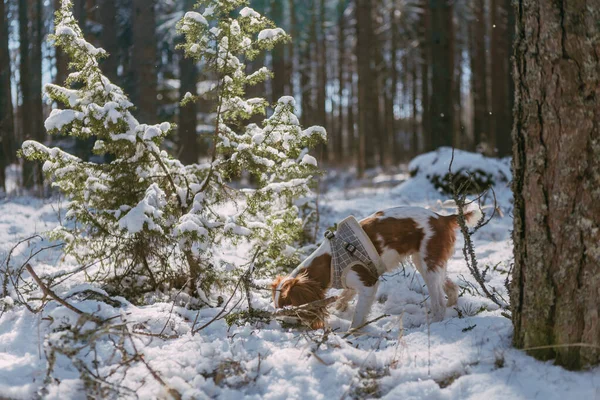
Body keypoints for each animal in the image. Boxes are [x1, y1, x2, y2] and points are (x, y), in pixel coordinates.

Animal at [272, 205, 482, 330]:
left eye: (290, 309)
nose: (284, 324)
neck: (330, 262)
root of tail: (442, 218)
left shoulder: (368, 283)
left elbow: (358, 316)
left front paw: (352, 333)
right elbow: (345, 296)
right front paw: (340, 309)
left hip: (428, 265)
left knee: (438, 305)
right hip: (427, 262)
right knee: (451, 287)